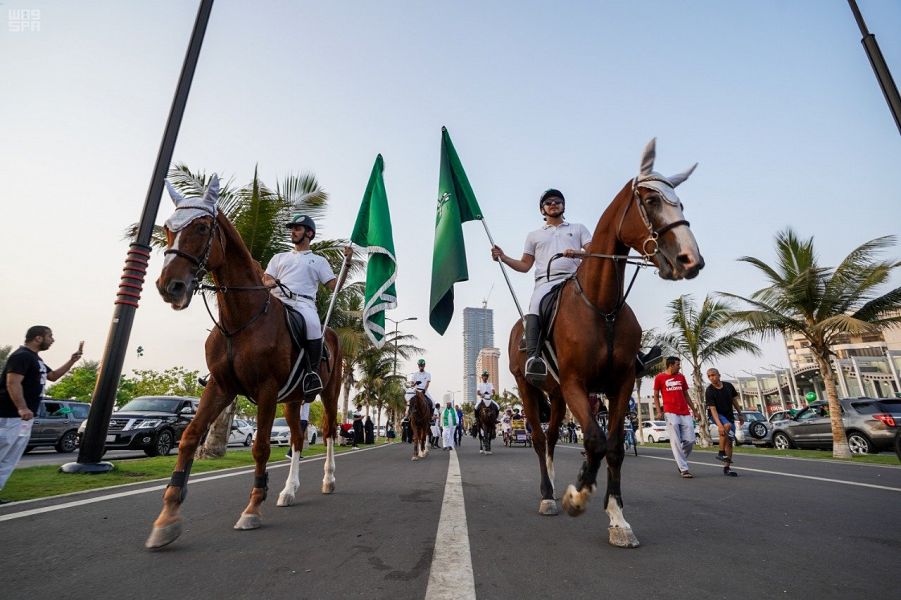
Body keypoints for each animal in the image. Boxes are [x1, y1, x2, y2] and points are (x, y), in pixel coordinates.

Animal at [146, 176, 342, 552]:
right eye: (167, 228)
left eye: (202, 227)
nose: (169, 286)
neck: (242, 319)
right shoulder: (221, 386)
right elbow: (189, 437)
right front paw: (167, 518)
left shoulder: (266, 390)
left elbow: (261, 446)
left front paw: (252, 508)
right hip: (293, 400)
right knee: (298, 438)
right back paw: (289, 490)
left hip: (329, 393)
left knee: (326, 432)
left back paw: (328, 480)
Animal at [506, 141, 704, 548]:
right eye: (650, 200)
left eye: (680, 202)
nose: (690, 260)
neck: (602, 306)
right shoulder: (576, 383)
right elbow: (595, 442)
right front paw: (577, 495)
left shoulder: (620, 384)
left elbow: (611, 446)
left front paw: (618, 520)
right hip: (528, 386)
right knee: (538, 438)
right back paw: (548, 495)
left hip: (557, 395)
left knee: (552, 437)